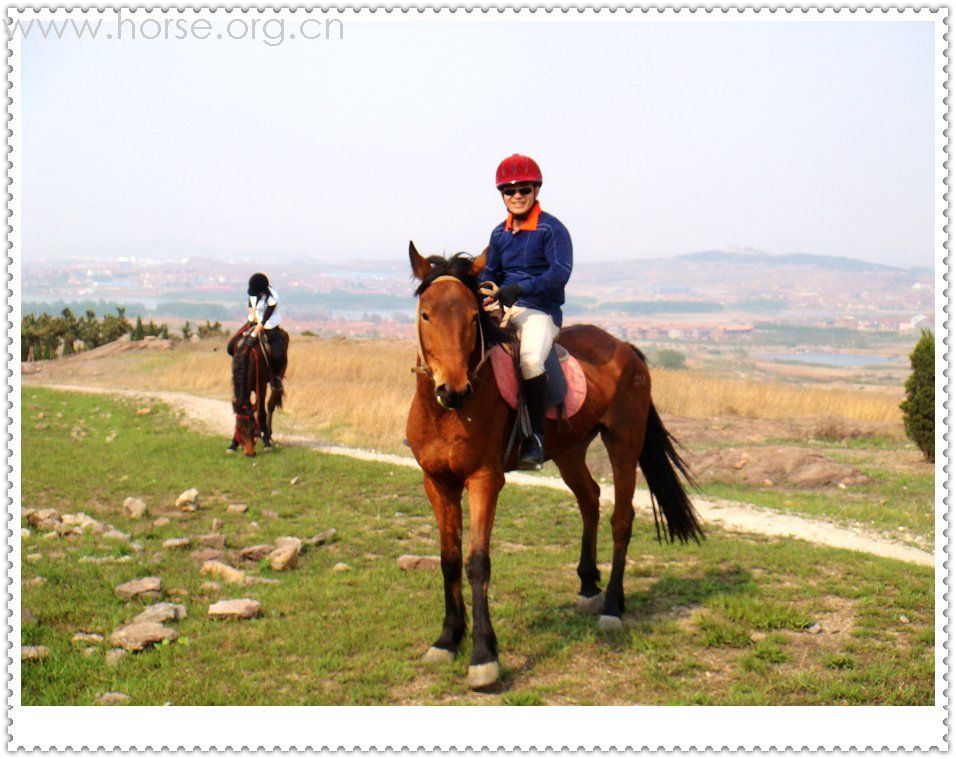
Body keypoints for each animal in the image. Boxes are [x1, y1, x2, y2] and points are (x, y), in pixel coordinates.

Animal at [229, 328, 286, 458]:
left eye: (251, 428)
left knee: (271, 404)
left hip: (277, 377)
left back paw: (268, 434)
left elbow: (261, 413)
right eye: (239, 430)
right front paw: (233, 445)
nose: (250, 453)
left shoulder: (261, 386)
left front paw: (266, 443)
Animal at [404, 246, 704, 692]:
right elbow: (449, 558)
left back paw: (611, 606)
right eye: (426, 314)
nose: (453, 390)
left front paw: (484, 657)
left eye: (474, 317)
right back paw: (588, 584)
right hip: (570, 450)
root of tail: (625, 347)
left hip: (624, 443)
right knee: (590, 500)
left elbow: (477, 562)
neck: (447, 414)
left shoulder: (484, 480)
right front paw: (447, 639)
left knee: (621, 518)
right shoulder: (437, 481)